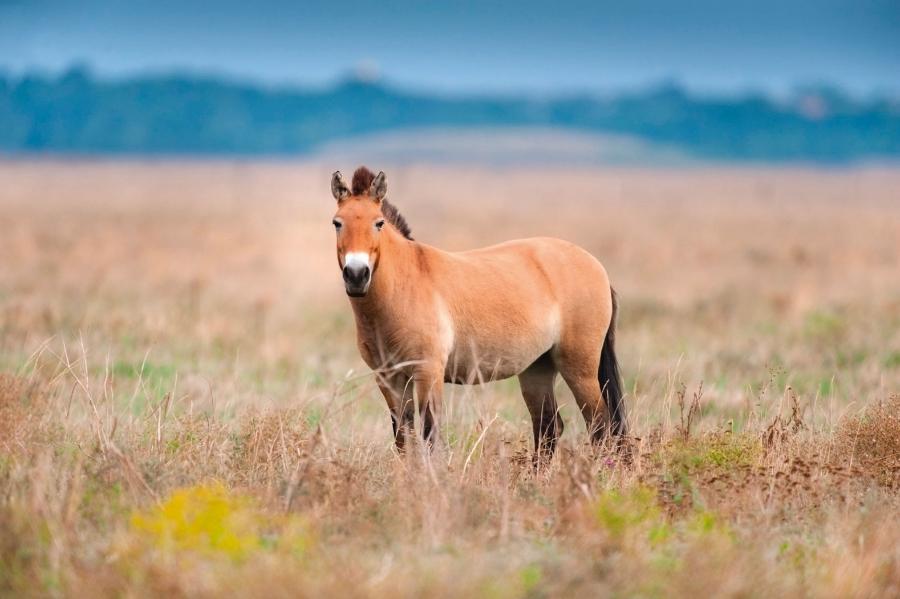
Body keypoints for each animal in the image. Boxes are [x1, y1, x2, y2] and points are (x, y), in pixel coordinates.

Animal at [330, 166, 624, 462]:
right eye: (337, 223)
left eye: (378, 223)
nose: (357, 275)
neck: (405, 287)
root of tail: (596, 266)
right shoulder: (388, 378)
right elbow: (403, 436)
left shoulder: (428, 372)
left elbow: (428, 433)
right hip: (537, 367)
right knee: (549, 426)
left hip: (579, 368)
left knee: (600, 424)